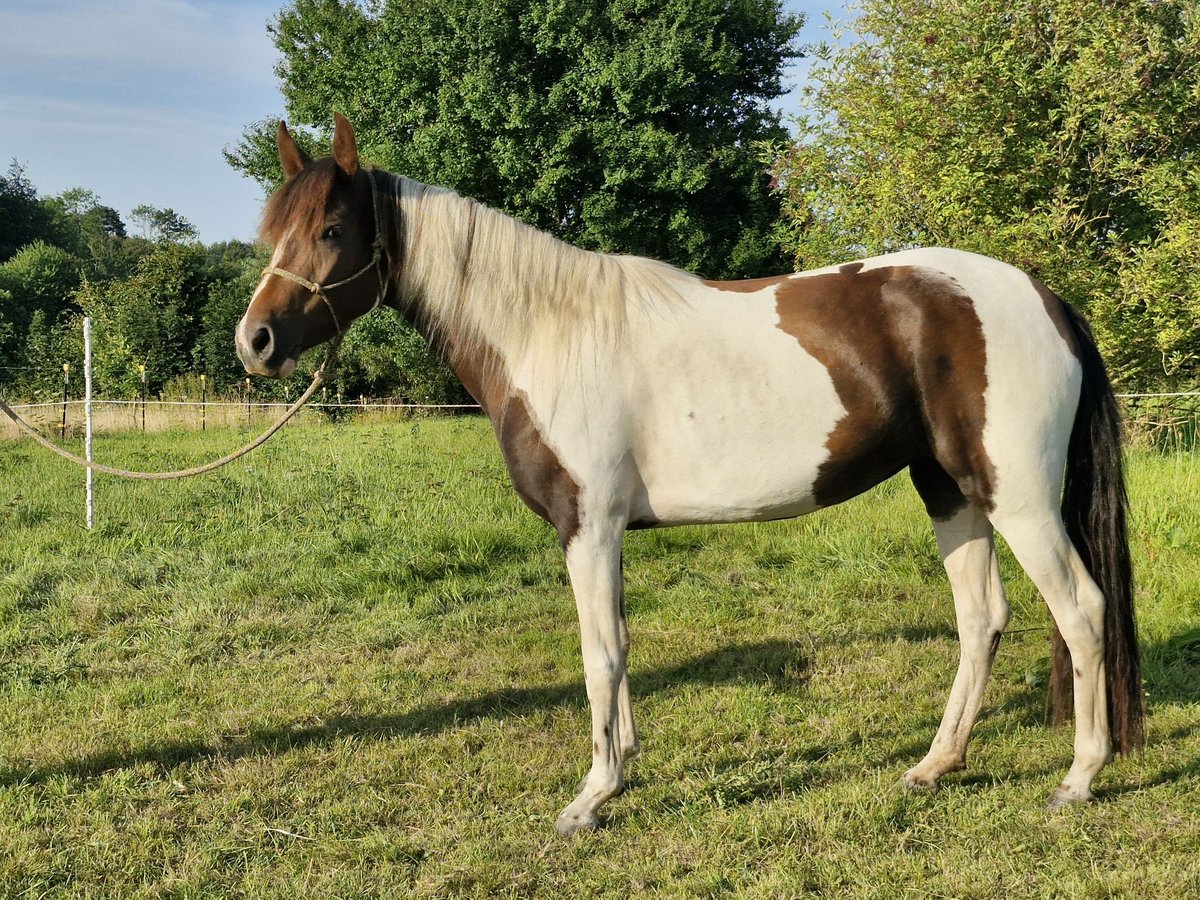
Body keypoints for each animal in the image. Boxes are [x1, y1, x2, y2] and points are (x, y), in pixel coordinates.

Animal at [234, 112, 1142, 840]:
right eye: (272, 232)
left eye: (331, 228)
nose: (256, 343)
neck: (547, 333)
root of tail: (1044, 299)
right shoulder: (603, 535)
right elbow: (621, 645)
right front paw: (622, 768)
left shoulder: (588, 527)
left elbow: (599, 654)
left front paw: (591, 798)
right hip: (951, 490)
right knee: (981, 619)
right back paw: (935, 765)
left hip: (1019, 499)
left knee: (1081, 611)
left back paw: (1079, 779)